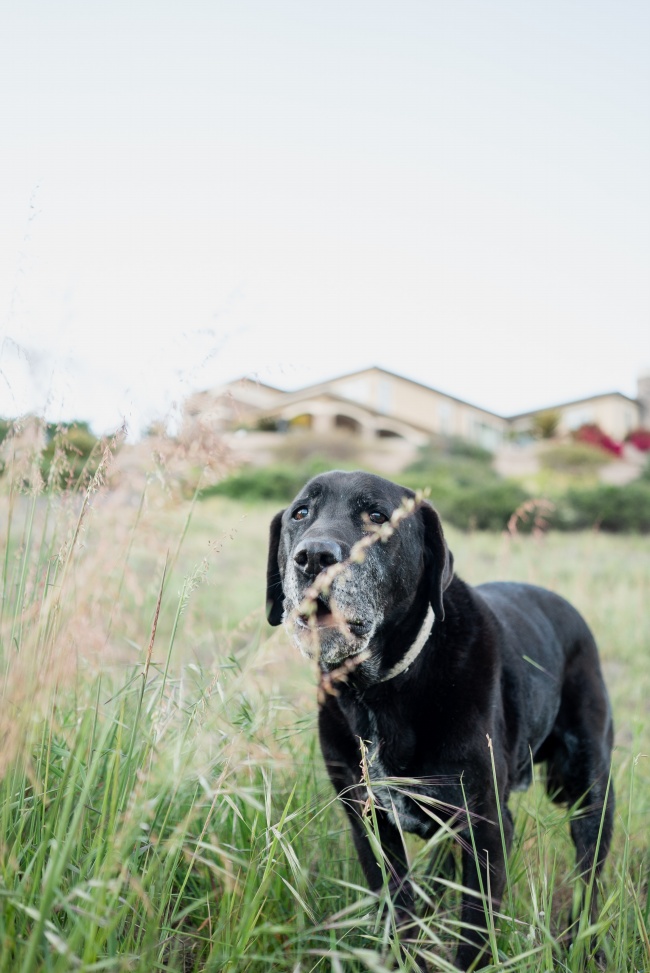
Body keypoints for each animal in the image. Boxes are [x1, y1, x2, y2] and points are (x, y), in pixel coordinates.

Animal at [264, 468, 612, 964]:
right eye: (300, 513)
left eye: (377, 516)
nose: (313, 557)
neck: (381, 689)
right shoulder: (368, 823)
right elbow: (397, 909)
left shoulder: (488, 825)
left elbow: (476, 930)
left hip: (590, 788)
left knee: (588, 876)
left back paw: (584, 946)